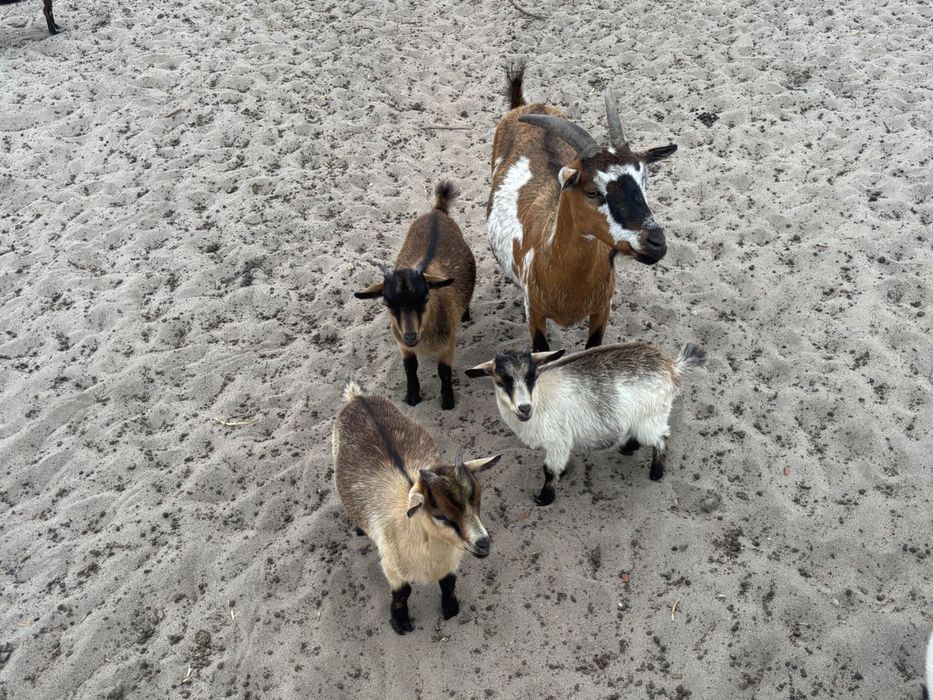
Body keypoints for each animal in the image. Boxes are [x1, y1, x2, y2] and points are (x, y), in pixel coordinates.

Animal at [332, 378, 500, 635]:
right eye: (441, 515)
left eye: (478, 499)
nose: (483, 543)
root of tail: (357, 398)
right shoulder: (391, 566)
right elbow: (402, 593)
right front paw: (400, 623)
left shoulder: (449, 563)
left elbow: (448, 584)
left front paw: (451, 610)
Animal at [355, 181, 476, 410]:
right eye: (387, 303)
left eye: (425, 298)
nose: (410, 336)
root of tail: (437, 211)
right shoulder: (403, 345)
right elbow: (409, 367)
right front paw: (412, 397)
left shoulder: (448, 344)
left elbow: (444, 372)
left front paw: (447, 401)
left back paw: (465, 315)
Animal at [466, 342, 705, 505]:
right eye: (501, 381)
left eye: (531, 376)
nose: (524, 408)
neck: (540, 397)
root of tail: (671, 365)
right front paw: (562, 474)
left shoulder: (557, 440)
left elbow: (549, 470)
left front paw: (545, 498)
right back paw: (629, 447)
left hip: (652, 416)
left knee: (662, 437)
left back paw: (656, 472)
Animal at [486, 62, 678, 351]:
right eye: (592, 191)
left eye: (643, 181)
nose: (656, 243)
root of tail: (524, 105)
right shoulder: (535, 315)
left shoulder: (601, 311)